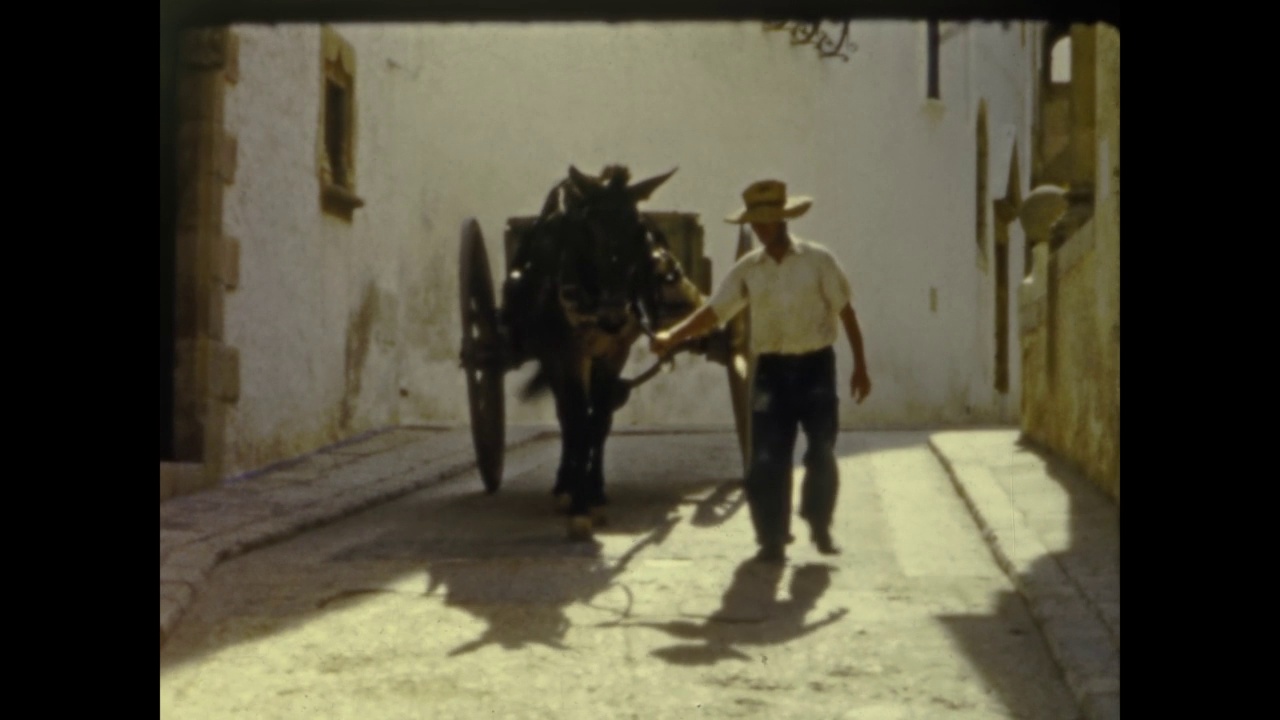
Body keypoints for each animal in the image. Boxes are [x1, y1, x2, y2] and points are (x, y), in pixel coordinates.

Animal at [499, 163, 706, 538]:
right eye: (589, 231)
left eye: (640, 232)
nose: (612, 316)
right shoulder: (569, 354)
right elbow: (579, 420)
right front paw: (578, 504)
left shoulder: (615, 351)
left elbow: (600, 419)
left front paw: (593, 494)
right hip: (552, 355)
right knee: (566, 415)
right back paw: (564, 485)